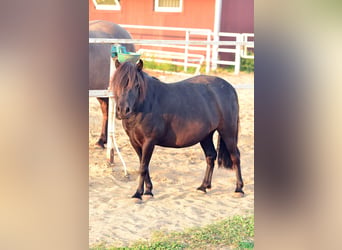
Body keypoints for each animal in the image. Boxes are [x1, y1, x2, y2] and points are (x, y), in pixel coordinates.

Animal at [112, 58, 243, 199]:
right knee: (210, 156)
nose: (123, 110)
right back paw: (203, 187)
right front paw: (148, 191)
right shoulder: (135, 142)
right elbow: (144, 166)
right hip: (206, 135)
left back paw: (239, 189)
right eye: (117, 83)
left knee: (235, 156)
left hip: (228, 132)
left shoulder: (149, 142)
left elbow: (143, 167)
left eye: (136, 85)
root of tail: (229, 88)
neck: (145, 104)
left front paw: (138, 194)